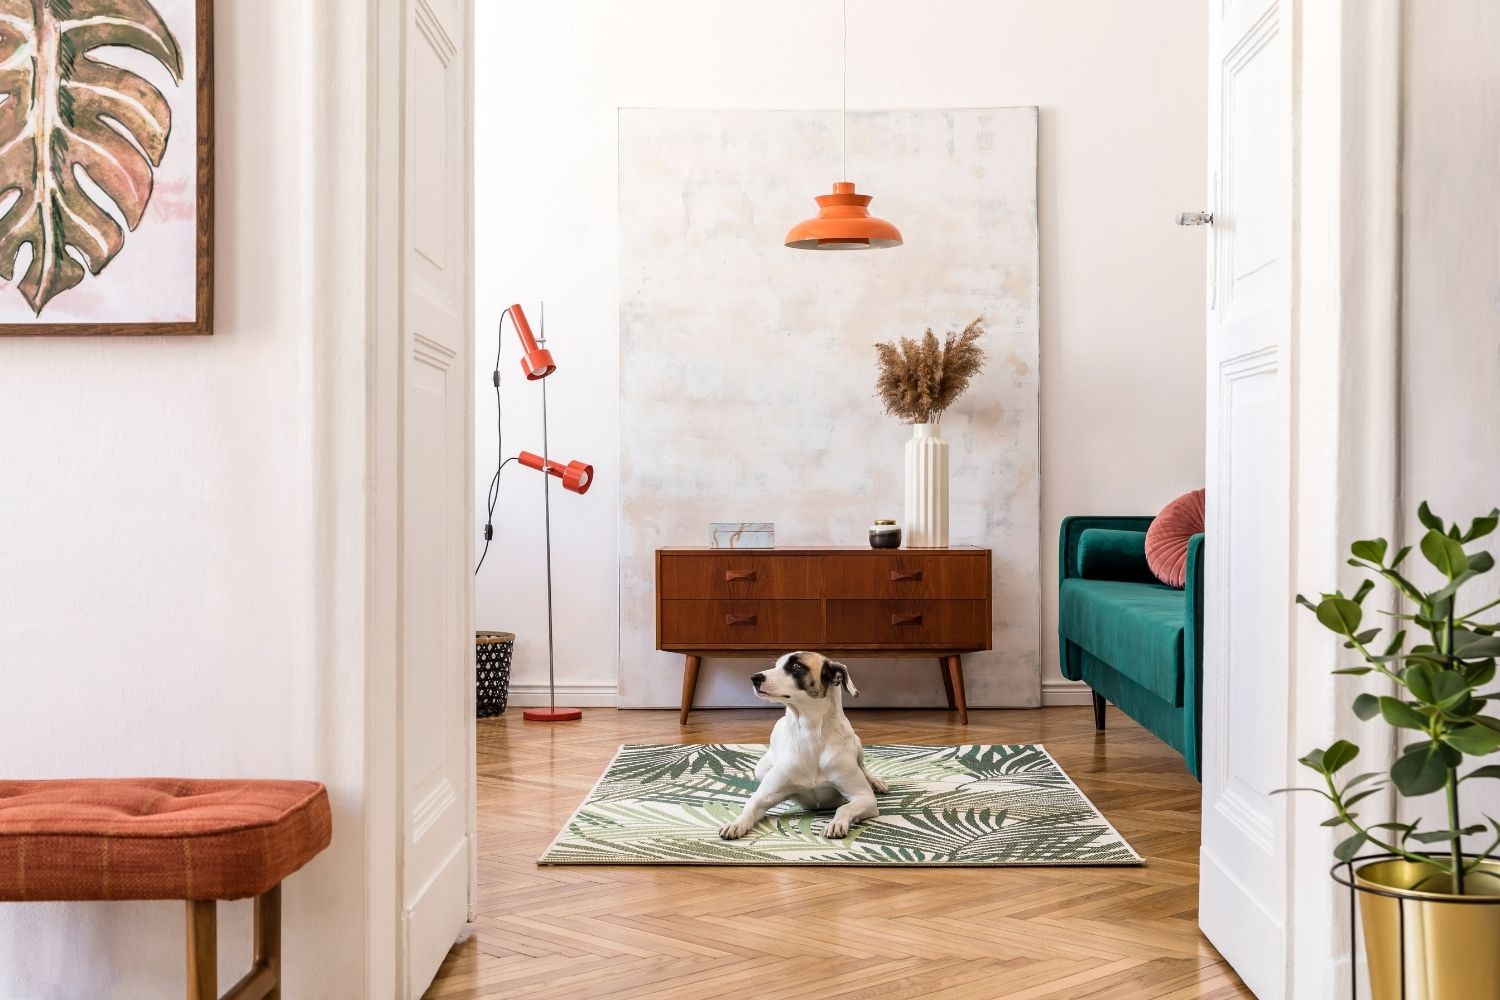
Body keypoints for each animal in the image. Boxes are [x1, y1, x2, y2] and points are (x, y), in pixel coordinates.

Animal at [717, 653, 882, 839]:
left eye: (796, 666)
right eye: (776, 665)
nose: (754, 678)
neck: (810, 734)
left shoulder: (864, 798)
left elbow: (844, 807)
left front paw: (837, 823)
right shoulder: (762, 797)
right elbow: (749, 806)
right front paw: (735, 824)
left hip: (857, 743)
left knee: (863, 767)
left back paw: (876, 782)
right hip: (760, 769)